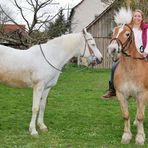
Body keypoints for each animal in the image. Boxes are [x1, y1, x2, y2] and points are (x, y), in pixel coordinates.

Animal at [107, 7, 148, 145]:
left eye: (127, 34)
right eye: (113, 32)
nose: (112, 49)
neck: (131, 69)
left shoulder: (143, 94)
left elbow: (141, 116)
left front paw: (140, 137)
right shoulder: (121, 95)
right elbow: (126, 115)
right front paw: (126, 136)